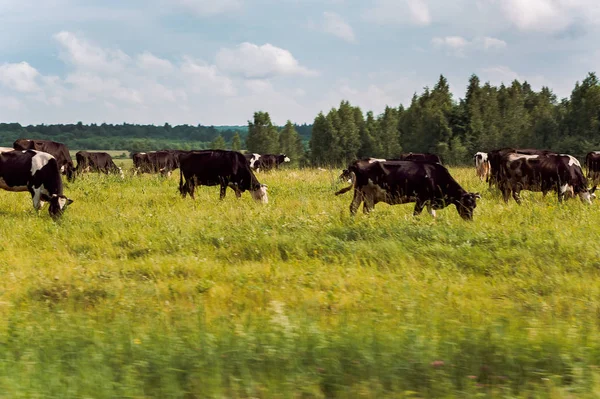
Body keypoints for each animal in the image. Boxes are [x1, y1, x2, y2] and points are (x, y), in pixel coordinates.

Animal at [340, 160, 480, 222]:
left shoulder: (430, 201)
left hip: (359, 193)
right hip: (368, 195)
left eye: (474, 206)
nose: (470, 221)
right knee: (366, 210)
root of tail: (357, 163)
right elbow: (416, 214)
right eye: (467, 204)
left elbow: (433, 215)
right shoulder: (421, 199)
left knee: (353, 207)